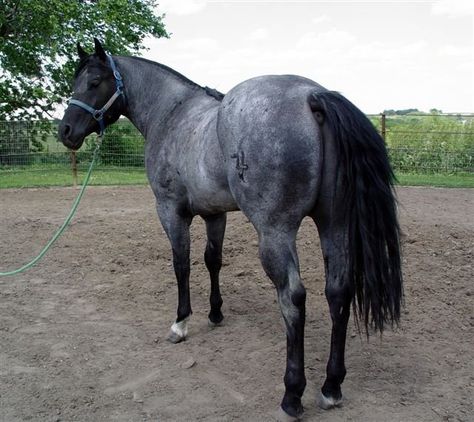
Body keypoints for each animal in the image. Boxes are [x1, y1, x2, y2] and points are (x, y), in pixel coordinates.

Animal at [57, 38, 402, 418]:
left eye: (94, 82)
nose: (65, 132)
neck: (173, 113)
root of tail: (312, 96)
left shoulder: (170, 211)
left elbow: (181, 264)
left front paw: (181, 323)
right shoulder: (214, 214)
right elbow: (213, 260)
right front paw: (215, 312)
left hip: (276, 233)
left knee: (293, 298)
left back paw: (292, 394)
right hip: (334, 225)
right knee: (338, 292)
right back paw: (331, 387)